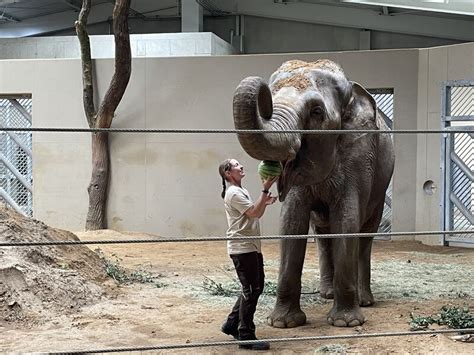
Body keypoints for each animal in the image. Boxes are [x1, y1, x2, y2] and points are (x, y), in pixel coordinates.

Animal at [231, 59, 394, 330]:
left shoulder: (359, 155)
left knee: (365, 234)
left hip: (381, 187)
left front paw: (345, 323)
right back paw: (326, 293)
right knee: (322, 232)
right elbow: (291, 221)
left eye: (317, 112)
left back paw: (364, 300)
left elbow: (347, 221)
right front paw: (282, 323)